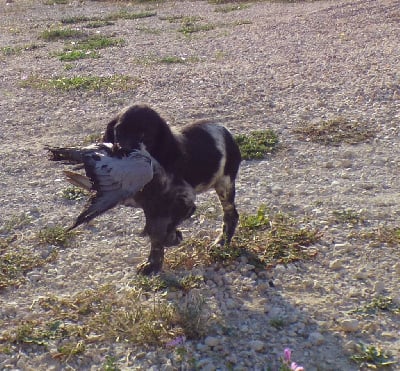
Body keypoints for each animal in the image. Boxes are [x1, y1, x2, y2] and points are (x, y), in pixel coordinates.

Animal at [103, 104, 241, 276]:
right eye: (118, 131)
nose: (122, 151)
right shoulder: (151, 206)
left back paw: (221, 242)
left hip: (224, 183)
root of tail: (225, 130)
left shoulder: (182, 202)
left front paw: (168, 243)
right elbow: (155, 233)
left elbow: (161, 232)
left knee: (230, 214)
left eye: (144, 134)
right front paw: (152, 264)